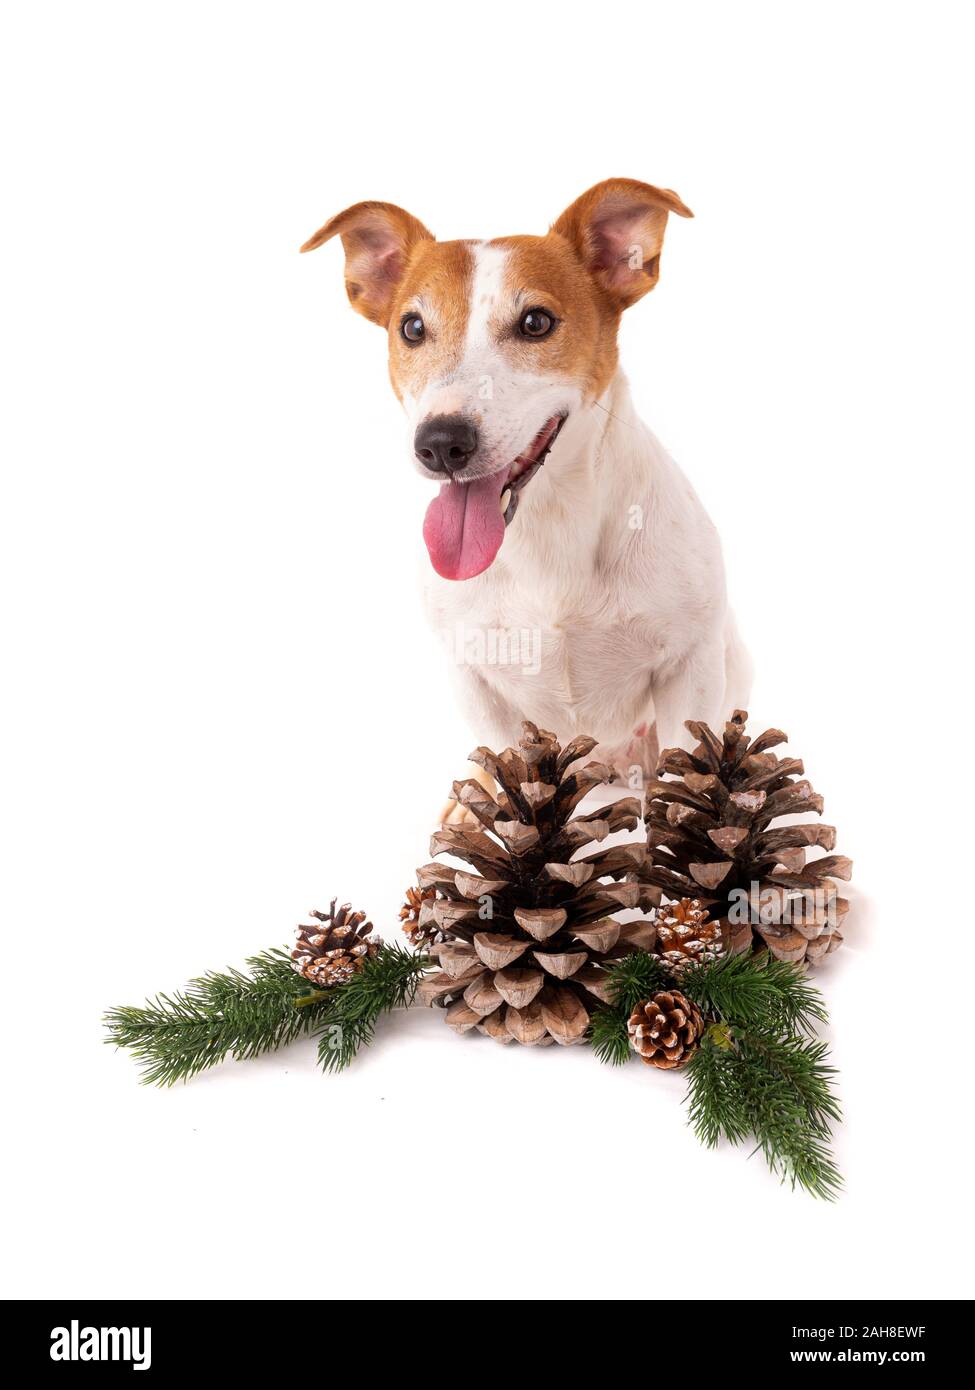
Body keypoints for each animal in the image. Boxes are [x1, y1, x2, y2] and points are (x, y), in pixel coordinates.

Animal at [300, 179, 751, 817]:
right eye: (411, 328)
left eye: (536, 322)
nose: (440, 443)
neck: (547, 529)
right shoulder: (475, 682)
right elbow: (506, 760)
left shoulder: (690, 667)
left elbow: (682, 785)